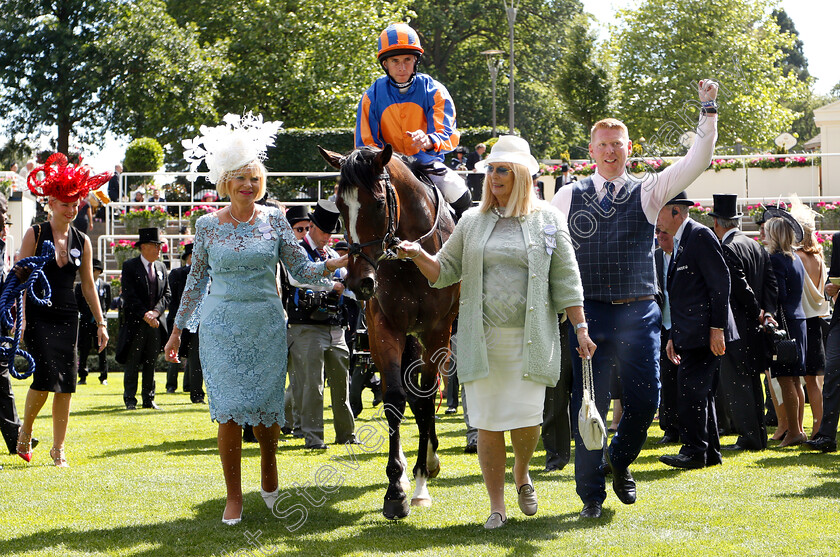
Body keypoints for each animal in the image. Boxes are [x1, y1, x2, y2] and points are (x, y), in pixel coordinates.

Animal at [318, 143, 460, 516]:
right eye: (340, 206)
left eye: (379, 203)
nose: (358, 282)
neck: (411, 263)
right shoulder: (385, 328)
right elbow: (396, 398)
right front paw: (396, 489)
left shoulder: (437, 331)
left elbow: (425, 398)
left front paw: (422, 479)